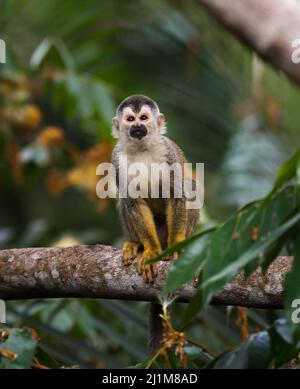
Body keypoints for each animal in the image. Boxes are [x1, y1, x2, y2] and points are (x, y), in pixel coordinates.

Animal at [111, 94, 200, 282]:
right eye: (130, 119)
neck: (142, 147)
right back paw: (135, 243)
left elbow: (176, 194)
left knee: (190, 186)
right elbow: (132, 201)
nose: (138, 126)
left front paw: (176, 246)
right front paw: (151, 251)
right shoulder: (116, 158)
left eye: (144, 118)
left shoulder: (167, 152)